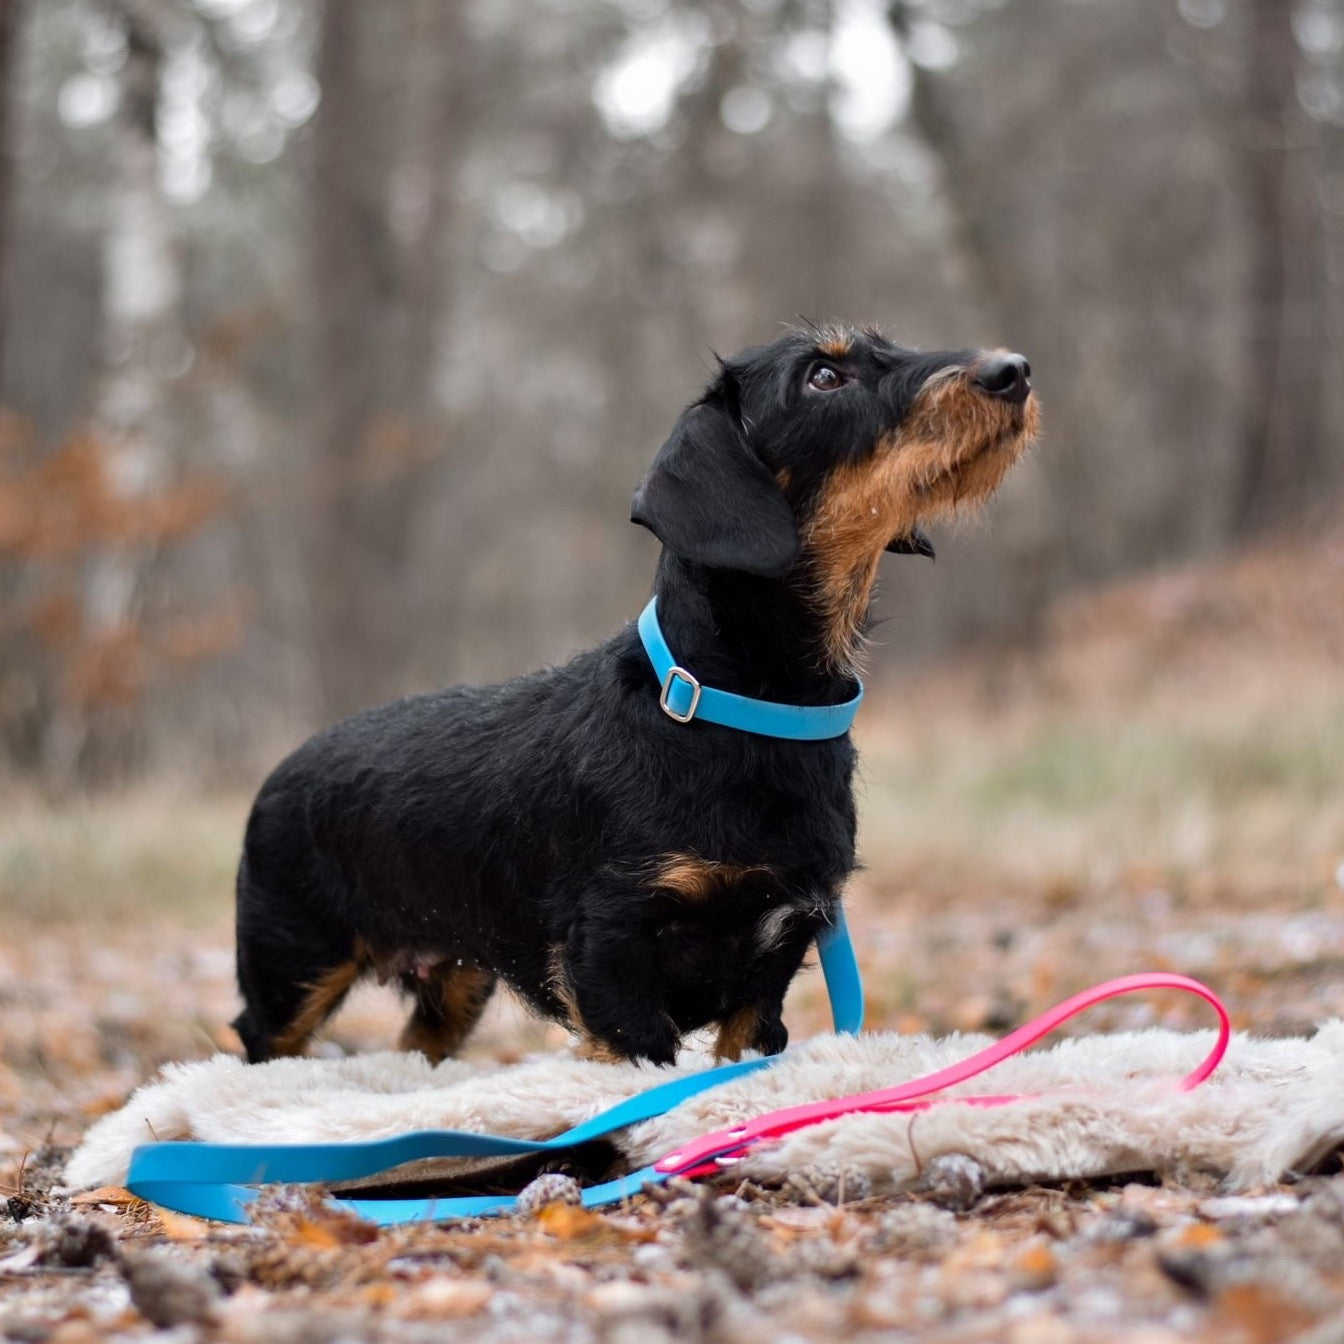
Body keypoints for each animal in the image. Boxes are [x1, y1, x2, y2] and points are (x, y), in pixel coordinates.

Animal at [233, 319, 1037, 1064]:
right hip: (291, 966)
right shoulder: (610, 948)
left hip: (457, 979)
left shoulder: (774, 961)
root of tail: (283, 768)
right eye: (822, 377)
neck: (741, 712)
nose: (1015, 371)